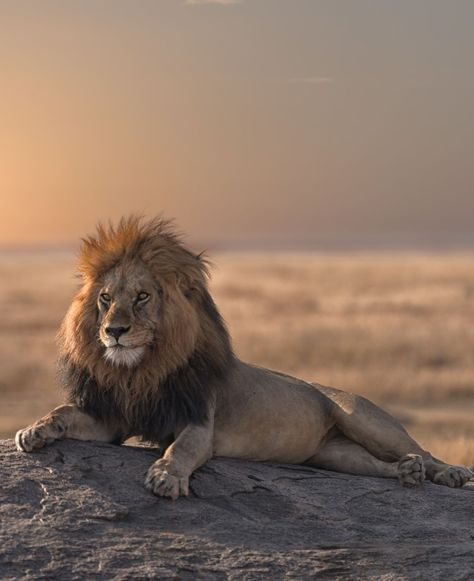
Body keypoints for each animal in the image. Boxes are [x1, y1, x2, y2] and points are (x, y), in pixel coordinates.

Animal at [16, 215, 472, 496]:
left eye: (143, 297)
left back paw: (449, 472)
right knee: (379, 466)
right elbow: (63, 412)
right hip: (334, 455)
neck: (141, 370)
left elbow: (181, 449)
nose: (113, 331)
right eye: (106, 299)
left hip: (363, 418)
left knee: (421, 450)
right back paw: (406, 473)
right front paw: (34, 431)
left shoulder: (199, 422)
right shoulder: (113, 418)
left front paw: (165, 477)